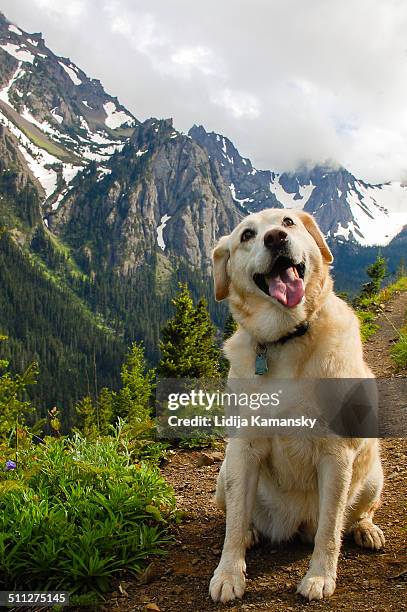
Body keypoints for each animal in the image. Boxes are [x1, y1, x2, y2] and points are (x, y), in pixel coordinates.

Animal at [210, 209, 386, 604]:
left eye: (287, 222)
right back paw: (251, 533)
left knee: (354, 515)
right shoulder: (243, 449)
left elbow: (329, 529)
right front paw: (228, 574)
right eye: (247, 235)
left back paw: (366, 530)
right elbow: (233, 526)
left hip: (372, 476)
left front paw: (320, 577)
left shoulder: (336, 455)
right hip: (224, 472)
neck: (286, 338)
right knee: (238, 515)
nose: (275, 237)